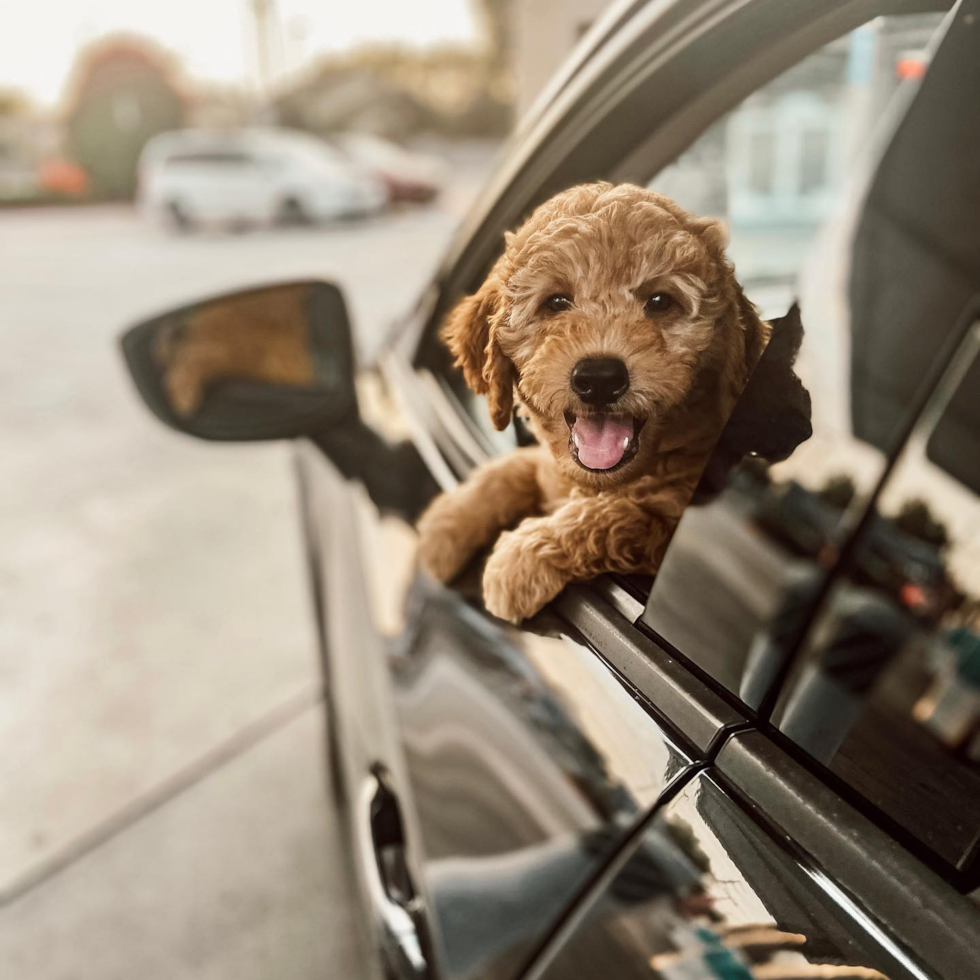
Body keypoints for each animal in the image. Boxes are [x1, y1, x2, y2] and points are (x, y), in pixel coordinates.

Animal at [420, 183, 772, 620]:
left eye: (660, 301)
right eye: (556, 302)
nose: (600, 378)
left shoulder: (669, 517)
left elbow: (613, 515)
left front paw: (523, 557)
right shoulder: (549, 468)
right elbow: (510, 469)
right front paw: (445, 524)